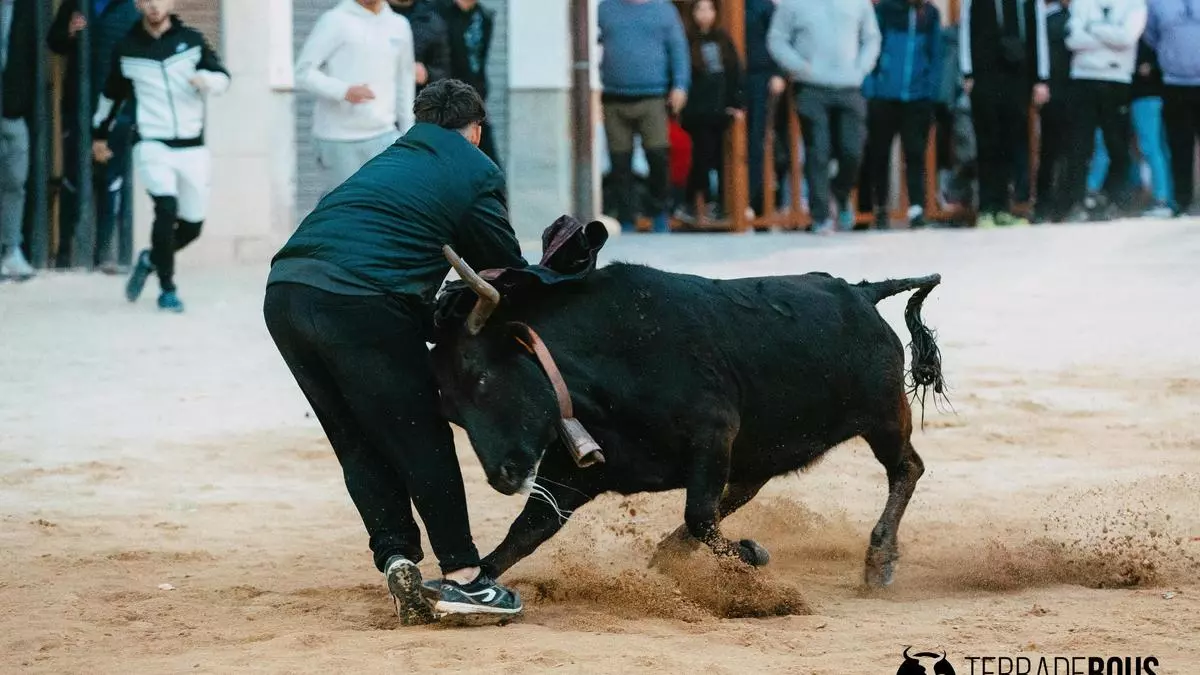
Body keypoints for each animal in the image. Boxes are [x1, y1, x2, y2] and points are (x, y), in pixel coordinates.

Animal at [432, 254, 945, 586]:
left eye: (481, 377)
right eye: (451, 412)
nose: (503, 476)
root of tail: (861, 291)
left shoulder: (713, 433)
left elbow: (699, 514)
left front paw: (752, 554)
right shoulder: (570, 475)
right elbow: (526, 531)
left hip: (883, 415)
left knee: (907, 467)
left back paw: (879, 560)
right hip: (768, 445)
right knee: (743, 489)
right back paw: (669, 551)